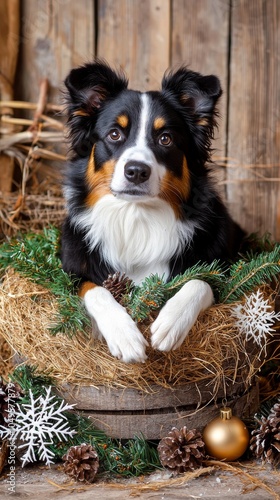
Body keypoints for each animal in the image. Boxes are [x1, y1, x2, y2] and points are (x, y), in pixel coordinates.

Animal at [60, 61, 244, 364]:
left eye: (165, 139)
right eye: (114, 134)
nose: (136, 171)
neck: (136, 218)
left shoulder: (227, 272)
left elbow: (201, 280)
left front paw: (171, 322)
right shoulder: (69, 271)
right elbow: (93, 288)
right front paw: (124, 335)